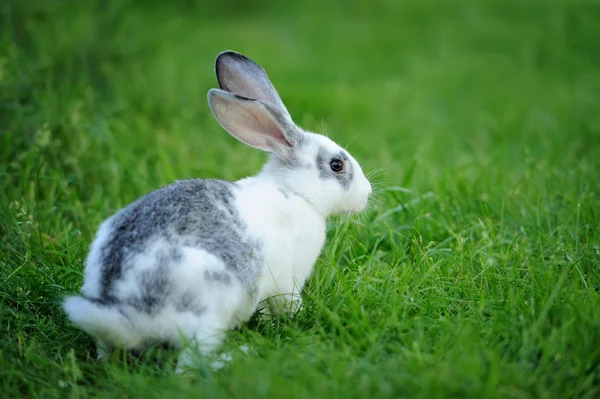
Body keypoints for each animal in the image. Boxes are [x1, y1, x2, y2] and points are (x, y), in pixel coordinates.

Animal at [61, 50, 370, 372]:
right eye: (337, 165)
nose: (367, 193)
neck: (296, 193)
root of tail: (126, 312)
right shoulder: (289, 280)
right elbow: (288, 303)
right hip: (206, 310)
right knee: (190, 364)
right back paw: (239, 355)